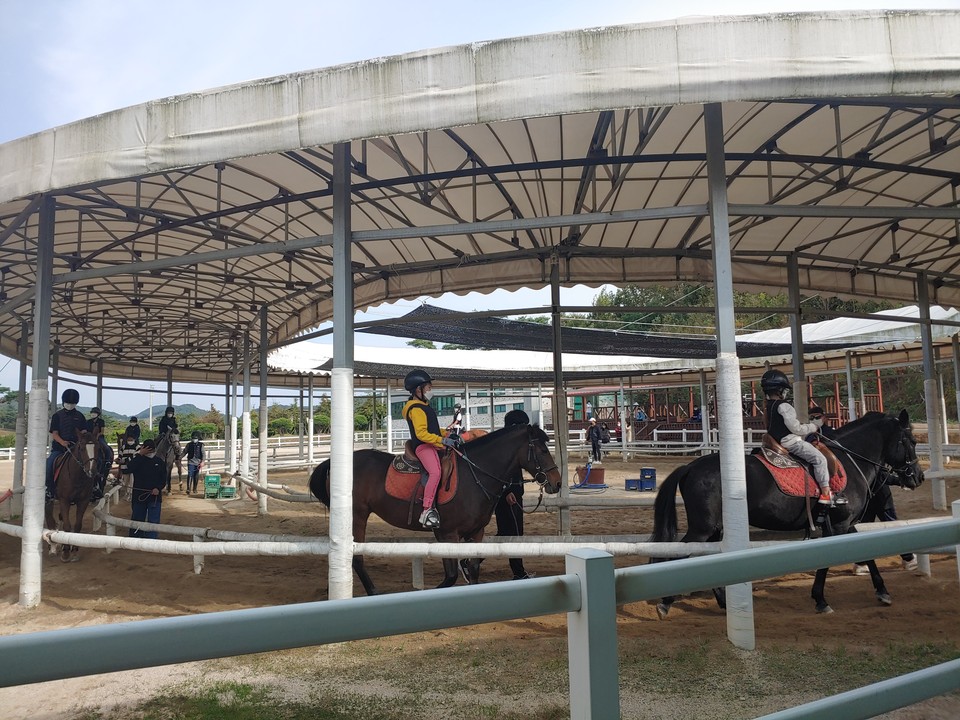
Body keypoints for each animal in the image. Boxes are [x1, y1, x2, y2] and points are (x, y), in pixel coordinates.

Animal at [43, 428, 102, 564]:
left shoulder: (83, 501)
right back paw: (52, 547)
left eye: (97, 446)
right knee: (50, 518)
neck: (77, 476)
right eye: (81, 448)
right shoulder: (64, 501)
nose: (92, 471)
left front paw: (74, 550)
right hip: (48, 499)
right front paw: (65, 553)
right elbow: (67, 525)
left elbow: (77, 525)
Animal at [308, 422, 564, 596]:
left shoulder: (475, 533)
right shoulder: (447, 533)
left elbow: (472, 568)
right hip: (356, 516)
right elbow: (451, 575)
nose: (557, 482)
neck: (474, 475)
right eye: (543, 450)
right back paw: (373, 592)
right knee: (357, 557)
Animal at [652, 410, 924, 612]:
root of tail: (690, 466)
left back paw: (722, 602)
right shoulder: (839, 525)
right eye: (911, 442)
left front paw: (882, 591)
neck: (849, 460)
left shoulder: (844, 525)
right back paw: (666, 602)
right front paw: (821, 600)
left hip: (715, 529)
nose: (918, 477)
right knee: (678, 554)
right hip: (703, 528)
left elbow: (866, 553)